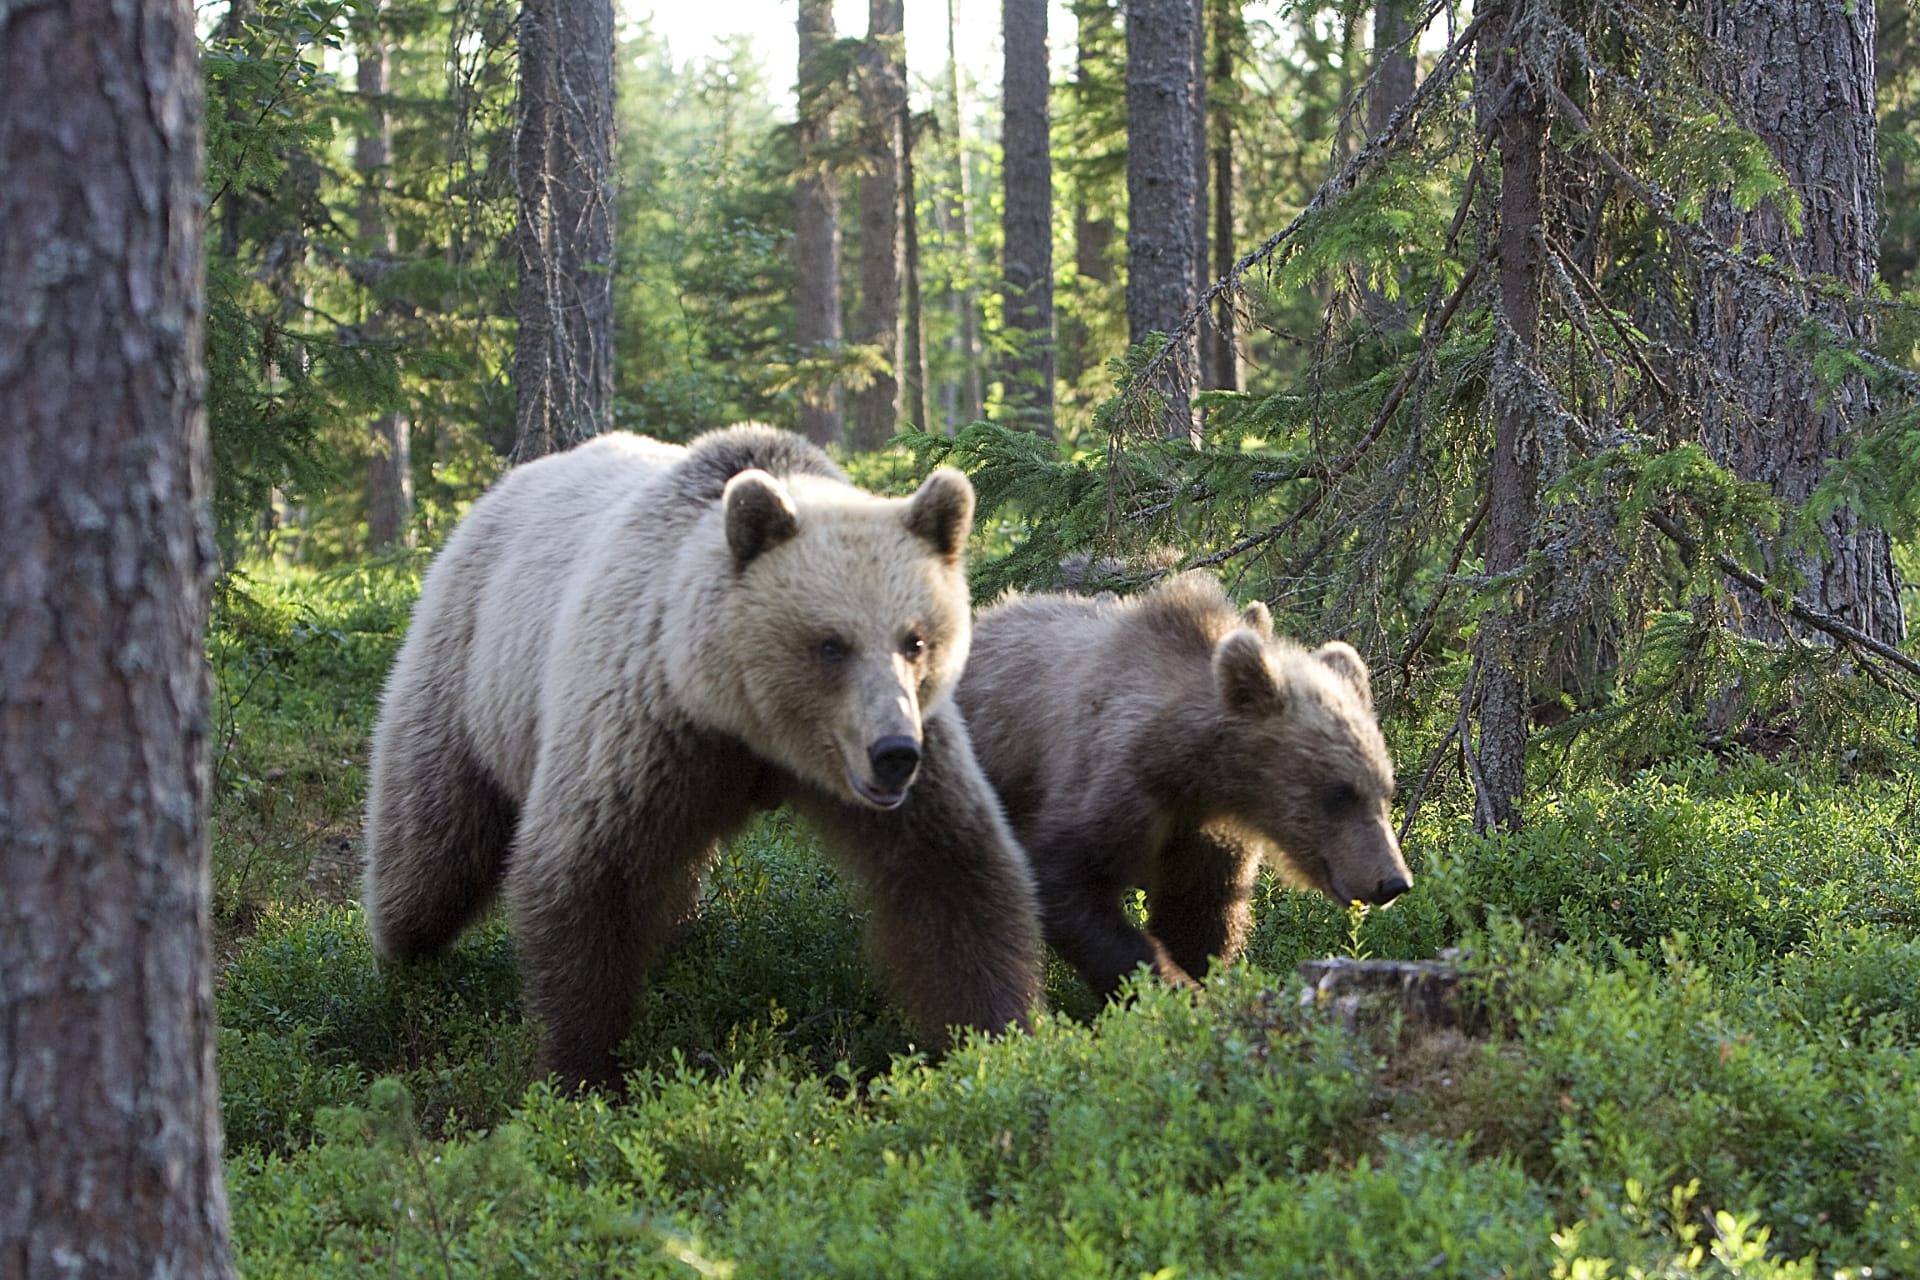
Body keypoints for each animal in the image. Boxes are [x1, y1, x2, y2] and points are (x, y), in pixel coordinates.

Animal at [361, 425, 1044, 1091]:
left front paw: (999, 1036)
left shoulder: (920, 762)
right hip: (464, 670)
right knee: (432, 840)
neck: (746, 727)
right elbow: (586, 877)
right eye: (831, 644)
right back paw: (403, 956)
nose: (893, 753)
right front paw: (580, 1069)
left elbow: (950, 875)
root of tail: (505, 486)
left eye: (917, 640)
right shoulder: (641, 729)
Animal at [954, 569, 1412, 998]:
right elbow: (1066, 881)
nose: (1392, 881)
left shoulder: (1209, 836)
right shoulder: (1113, 792)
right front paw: (1174, 985)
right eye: (1339, 793)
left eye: (1385, 791)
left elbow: (1198, 917)